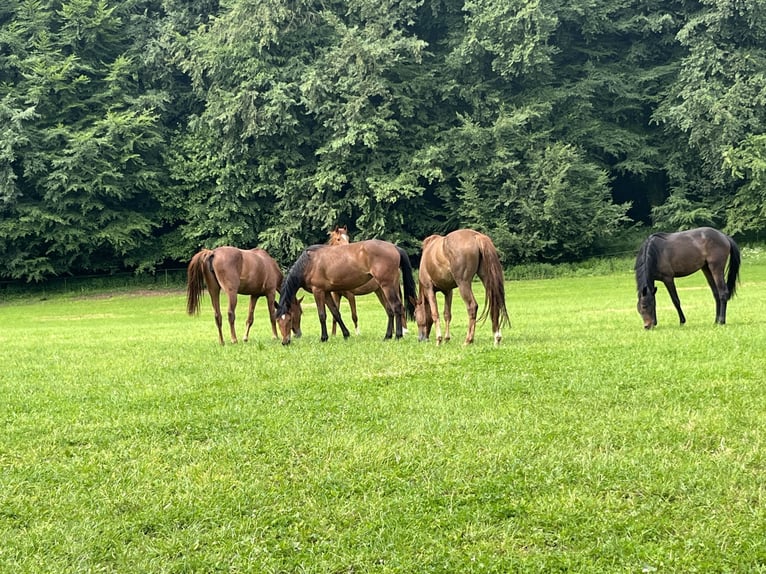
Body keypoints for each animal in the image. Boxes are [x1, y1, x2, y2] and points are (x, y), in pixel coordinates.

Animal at [275, 239, 416, 344]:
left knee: (397, 307)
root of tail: (394, 247)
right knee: (390, 310)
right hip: (382, 289)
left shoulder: (318, 291)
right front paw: (346, 334)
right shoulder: (327, 292)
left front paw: (323, 338)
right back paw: (387, 336)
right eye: (277, 321)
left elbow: (322, 315)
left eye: (290, 319)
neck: (309, 263)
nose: (285, 342)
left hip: (387, 286)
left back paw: (398, 336)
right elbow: (336, 313)